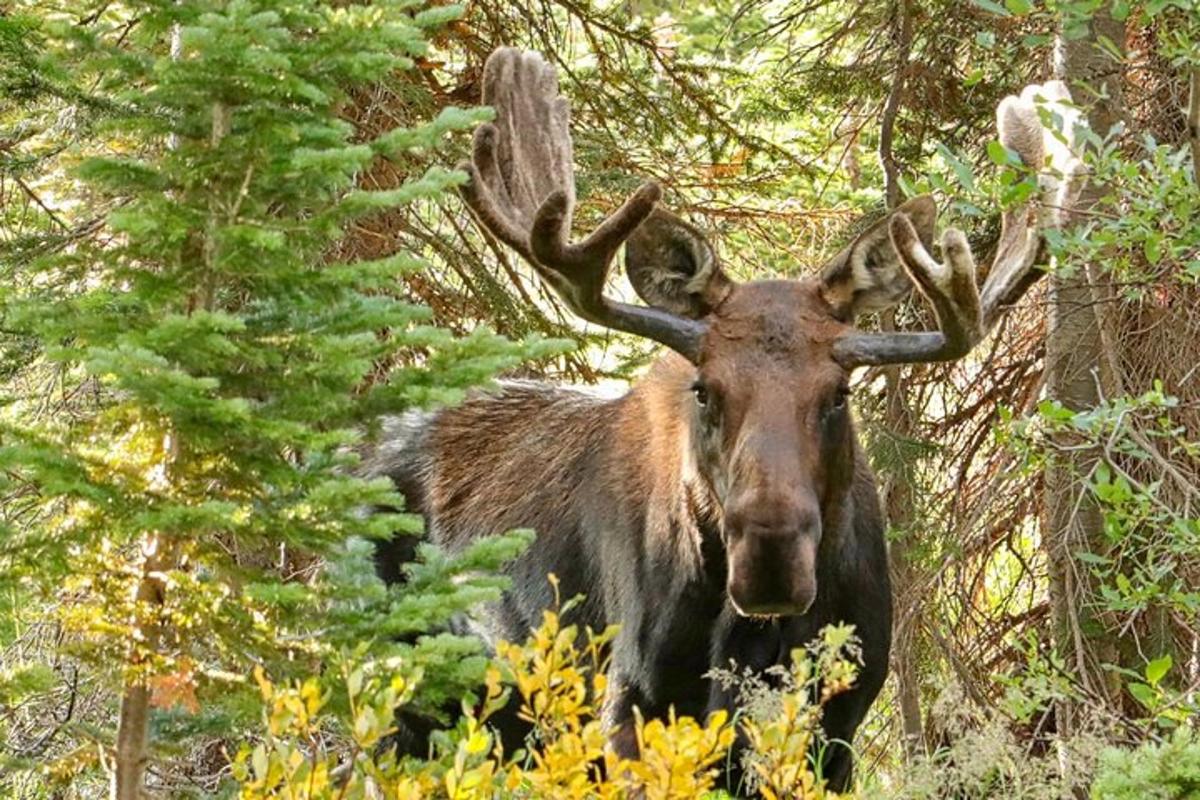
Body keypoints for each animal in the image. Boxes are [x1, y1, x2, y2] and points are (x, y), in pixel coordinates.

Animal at [369, 50, 1084, 796]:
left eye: (838, 393)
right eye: (705, 391)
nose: (771, 558)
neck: (754, 640)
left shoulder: (842, 724)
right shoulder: (629, 706)